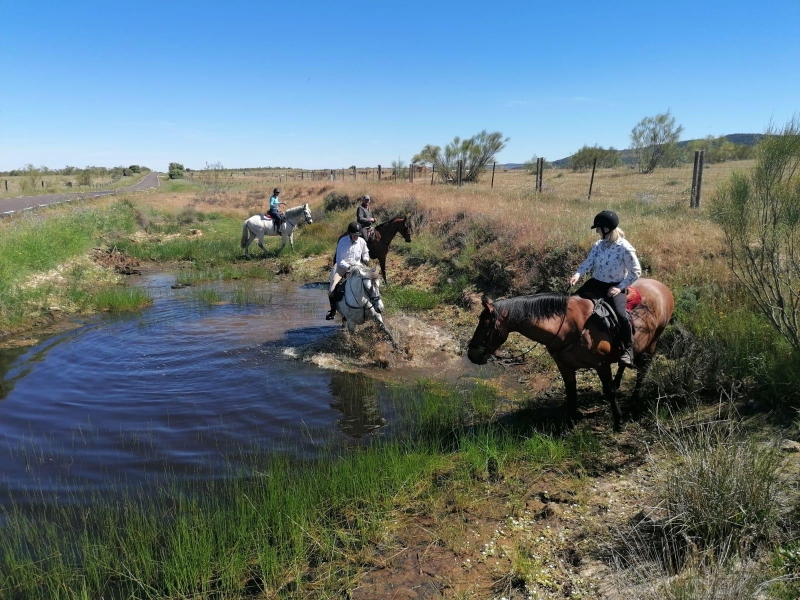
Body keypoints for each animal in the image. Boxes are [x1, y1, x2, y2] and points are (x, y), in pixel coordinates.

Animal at [466, 278, 672, 428]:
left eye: (485, 324)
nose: (471, 355)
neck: (567, 326)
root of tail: (662, 287)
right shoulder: (564, 366)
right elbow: (571, 391)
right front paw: (571, 420)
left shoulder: (601, 365)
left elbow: (609, 391)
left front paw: (618, 422)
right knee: (624, 362)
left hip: (652, 343)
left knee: (642, 370)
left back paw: (634, 399)